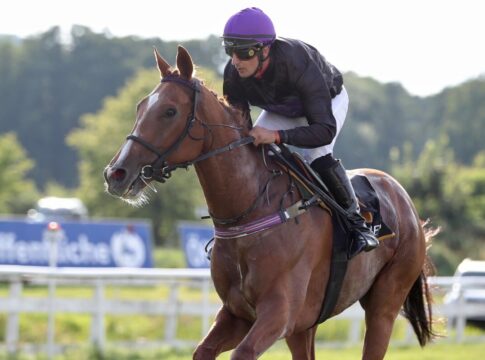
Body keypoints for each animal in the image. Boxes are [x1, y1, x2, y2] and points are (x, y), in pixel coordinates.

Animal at [103, 46, 434, 358]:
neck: (251, 210)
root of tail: (404, 200)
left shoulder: (279, 313)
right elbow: (202, 350)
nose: (115, 173)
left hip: (384, 305)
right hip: (305, 325)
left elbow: (243, 352)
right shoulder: (237, 313)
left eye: (170, 111)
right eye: (140, 106)